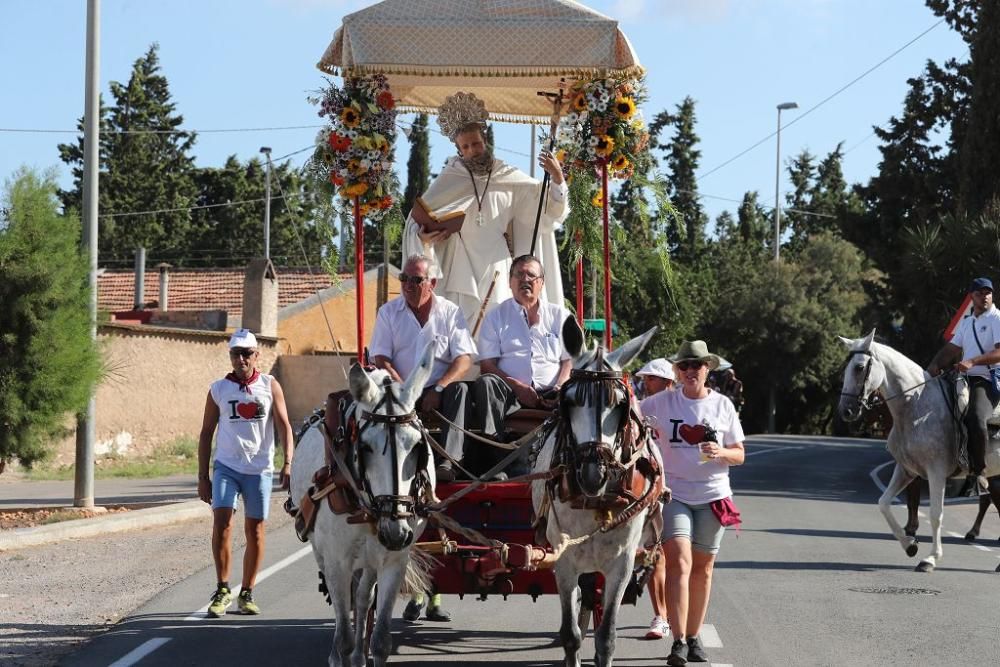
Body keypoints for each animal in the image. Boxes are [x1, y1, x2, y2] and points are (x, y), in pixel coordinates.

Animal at [286, 344, 434, 667]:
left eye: (417, 447)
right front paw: (340, 653)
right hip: (324, 554)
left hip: (370, 558)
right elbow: (342, 634)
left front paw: (365, 651)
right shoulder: (337, 561)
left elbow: (381, 641)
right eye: (365, 447)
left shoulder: (394, 560)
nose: (395, 532)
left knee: (365, 596)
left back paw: (358, 652)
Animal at [532, 320, 664, 667]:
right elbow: (570, 635)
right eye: (569, 402)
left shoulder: (622, 564)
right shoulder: (563, 559)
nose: (595, 474)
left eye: (620, 405)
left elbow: (606, 638)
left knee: (592, 595)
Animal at [836, 332, 1000, 572]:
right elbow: (883, 503)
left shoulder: (936, 472)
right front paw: (909, 545)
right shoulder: (906, 470)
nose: (846, 411)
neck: (917, 406)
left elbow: (935, 514)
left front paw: (930, 558)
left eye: (859, 367)